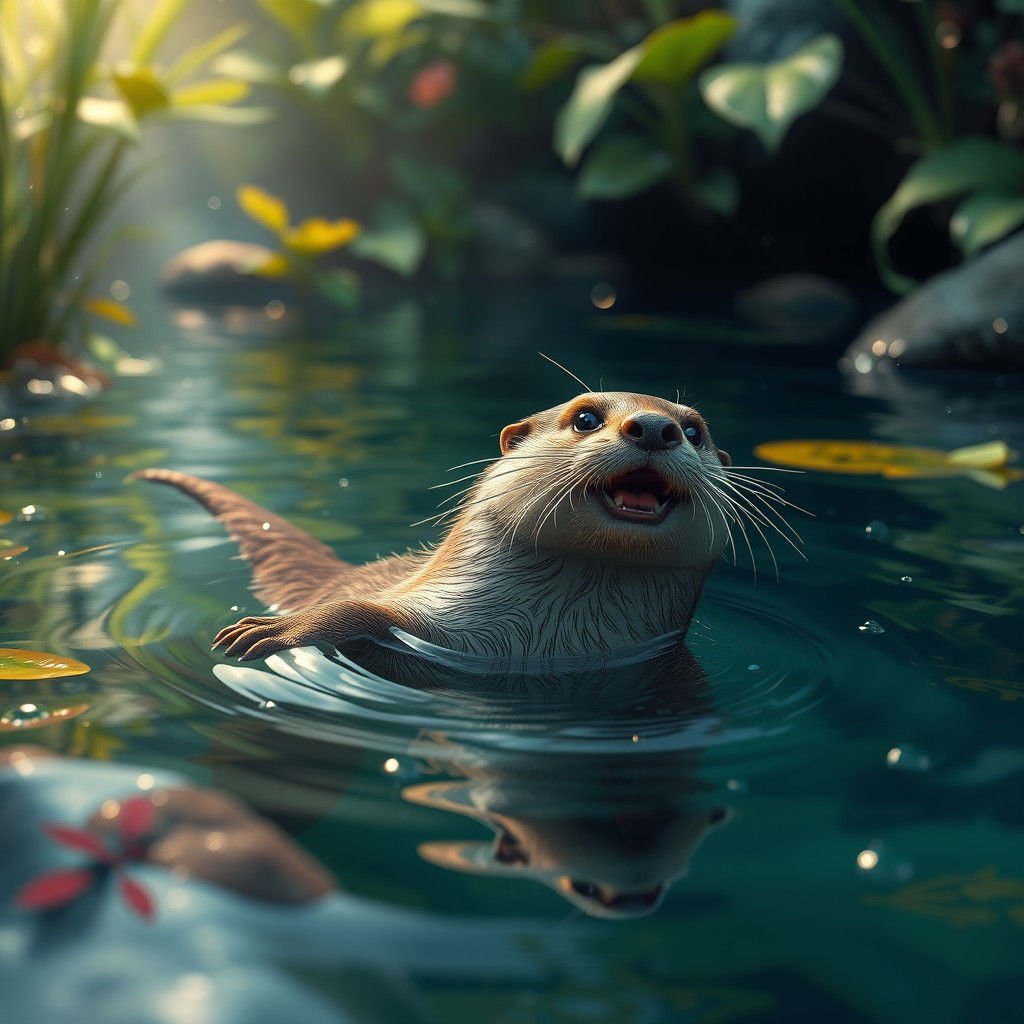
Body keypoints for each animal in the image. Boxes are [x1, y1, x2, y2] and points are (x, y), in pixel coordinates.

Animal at [134, 391, 737, 670]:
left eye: (694, 431)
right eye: (586, 418)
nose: (655, 427)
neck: (549, 642)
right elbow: (364, 610)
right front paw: (277, 629)